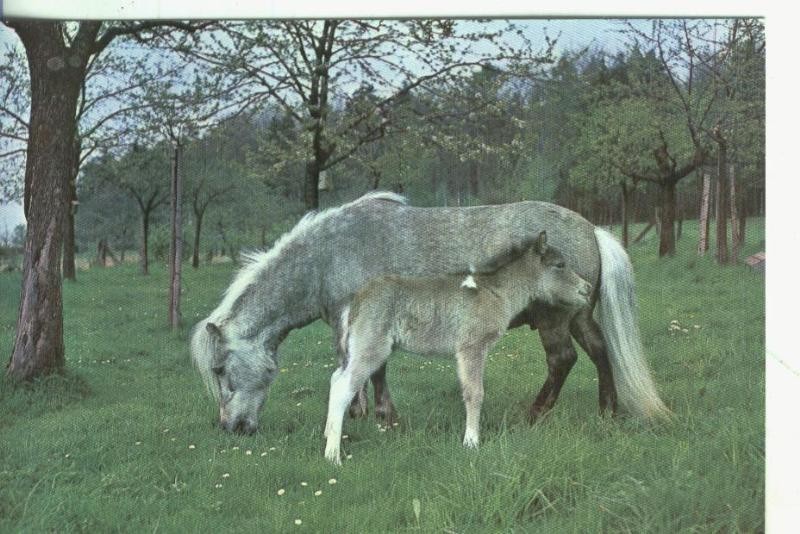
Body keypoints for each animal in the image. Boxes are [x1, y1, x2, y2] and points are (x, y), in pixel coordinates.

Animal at [191, 195, 672, 438]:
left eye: (220, 369)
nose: (231, 428)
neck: (328, 254)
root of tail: (592, 228)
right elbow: (357, 370)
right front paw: (363, 413)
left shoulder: (364, 325)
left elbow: (372, 371)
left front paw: (381, 417)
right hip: (578, 315)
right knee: (599, 352)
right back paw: (607, 411)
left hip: (555, 320)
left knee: (563, 361)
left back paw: (535, 416)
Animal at [322, 233, 592, 464]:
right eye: (560, 265)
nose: (587, 289)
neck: (496, 292)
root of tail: (357, 297)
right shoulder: (472, 346)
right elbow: (475, 393)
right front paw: (471, 442)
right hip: (372, 348)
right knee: (343, 387)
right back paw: (333, 456)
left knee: (335, 378)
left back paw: (327, 434)